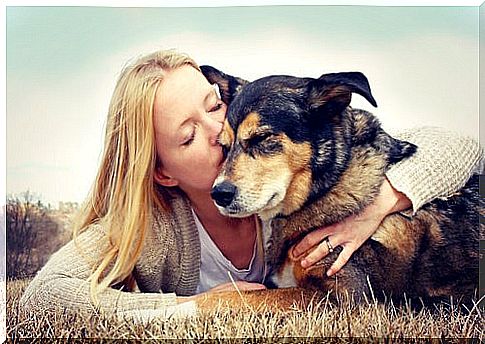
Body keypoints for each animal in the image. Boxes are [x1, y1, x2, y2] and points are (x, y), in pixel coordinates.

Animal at [199, 65, 478, 306]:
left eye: (263, 137)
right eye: (223, 146)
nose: (218, 194)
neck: (327, 185)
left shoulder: (342, 297)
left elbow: (237, 298)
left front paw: (186, 308)